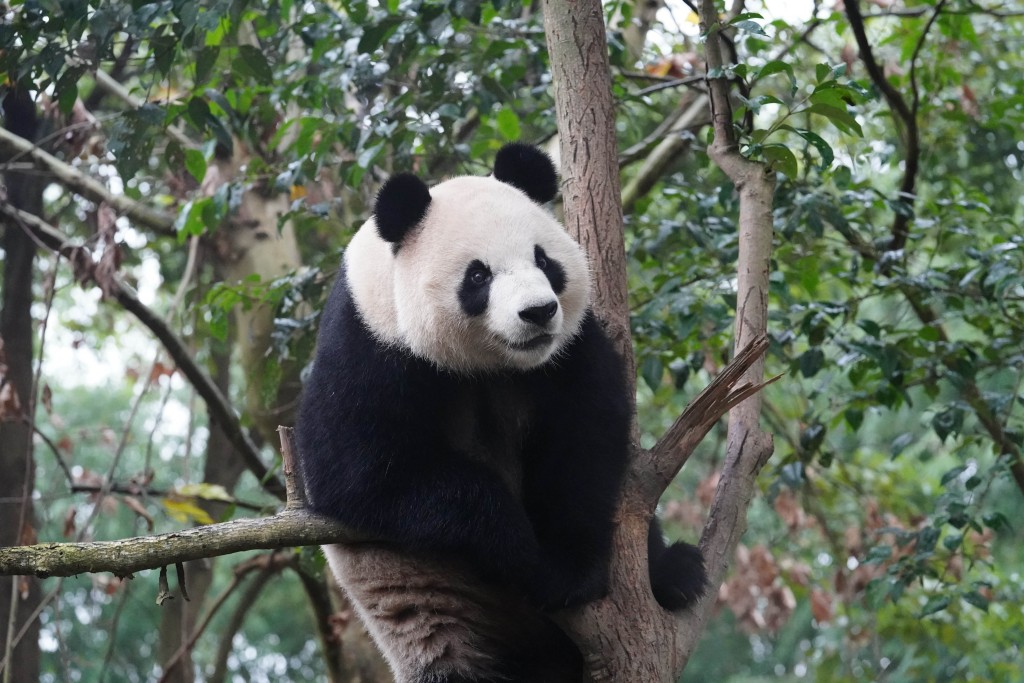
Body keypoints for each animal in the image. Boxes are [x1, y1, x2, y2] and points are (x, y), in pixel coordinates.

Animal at [299, 144, 704, 683]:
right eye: (478, 275)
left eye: (543, 260)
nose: (538, 313)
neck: (488, 363)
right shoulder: (371, 343)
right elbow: (361, 473)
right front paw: (523, 553)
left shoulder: (568, 349)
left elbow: (586, 442)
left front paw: (569, 567)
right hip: (439, 616)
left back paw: (677, 572)